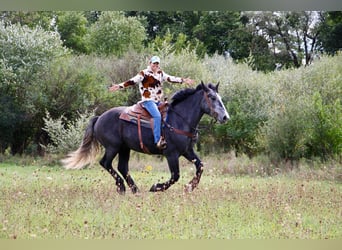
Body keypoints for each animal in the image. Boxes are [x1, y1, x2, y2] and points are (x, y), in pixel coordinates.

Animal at [63, 82, 231, 193]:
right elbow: (175, 176)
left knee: (122, 167)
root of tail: (99, 118)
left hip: (124, 148)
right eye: (211, 97)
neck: (180, 119)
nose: (225, 117)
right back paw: (122, 187)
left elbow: (200, 166)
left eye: (219, 97)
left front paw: (190, 186)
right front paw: (156, 187)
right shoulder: (171, 154)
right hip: (112, 147)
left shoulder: (187, 151)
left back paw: (134, 189)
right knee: (106, 163)